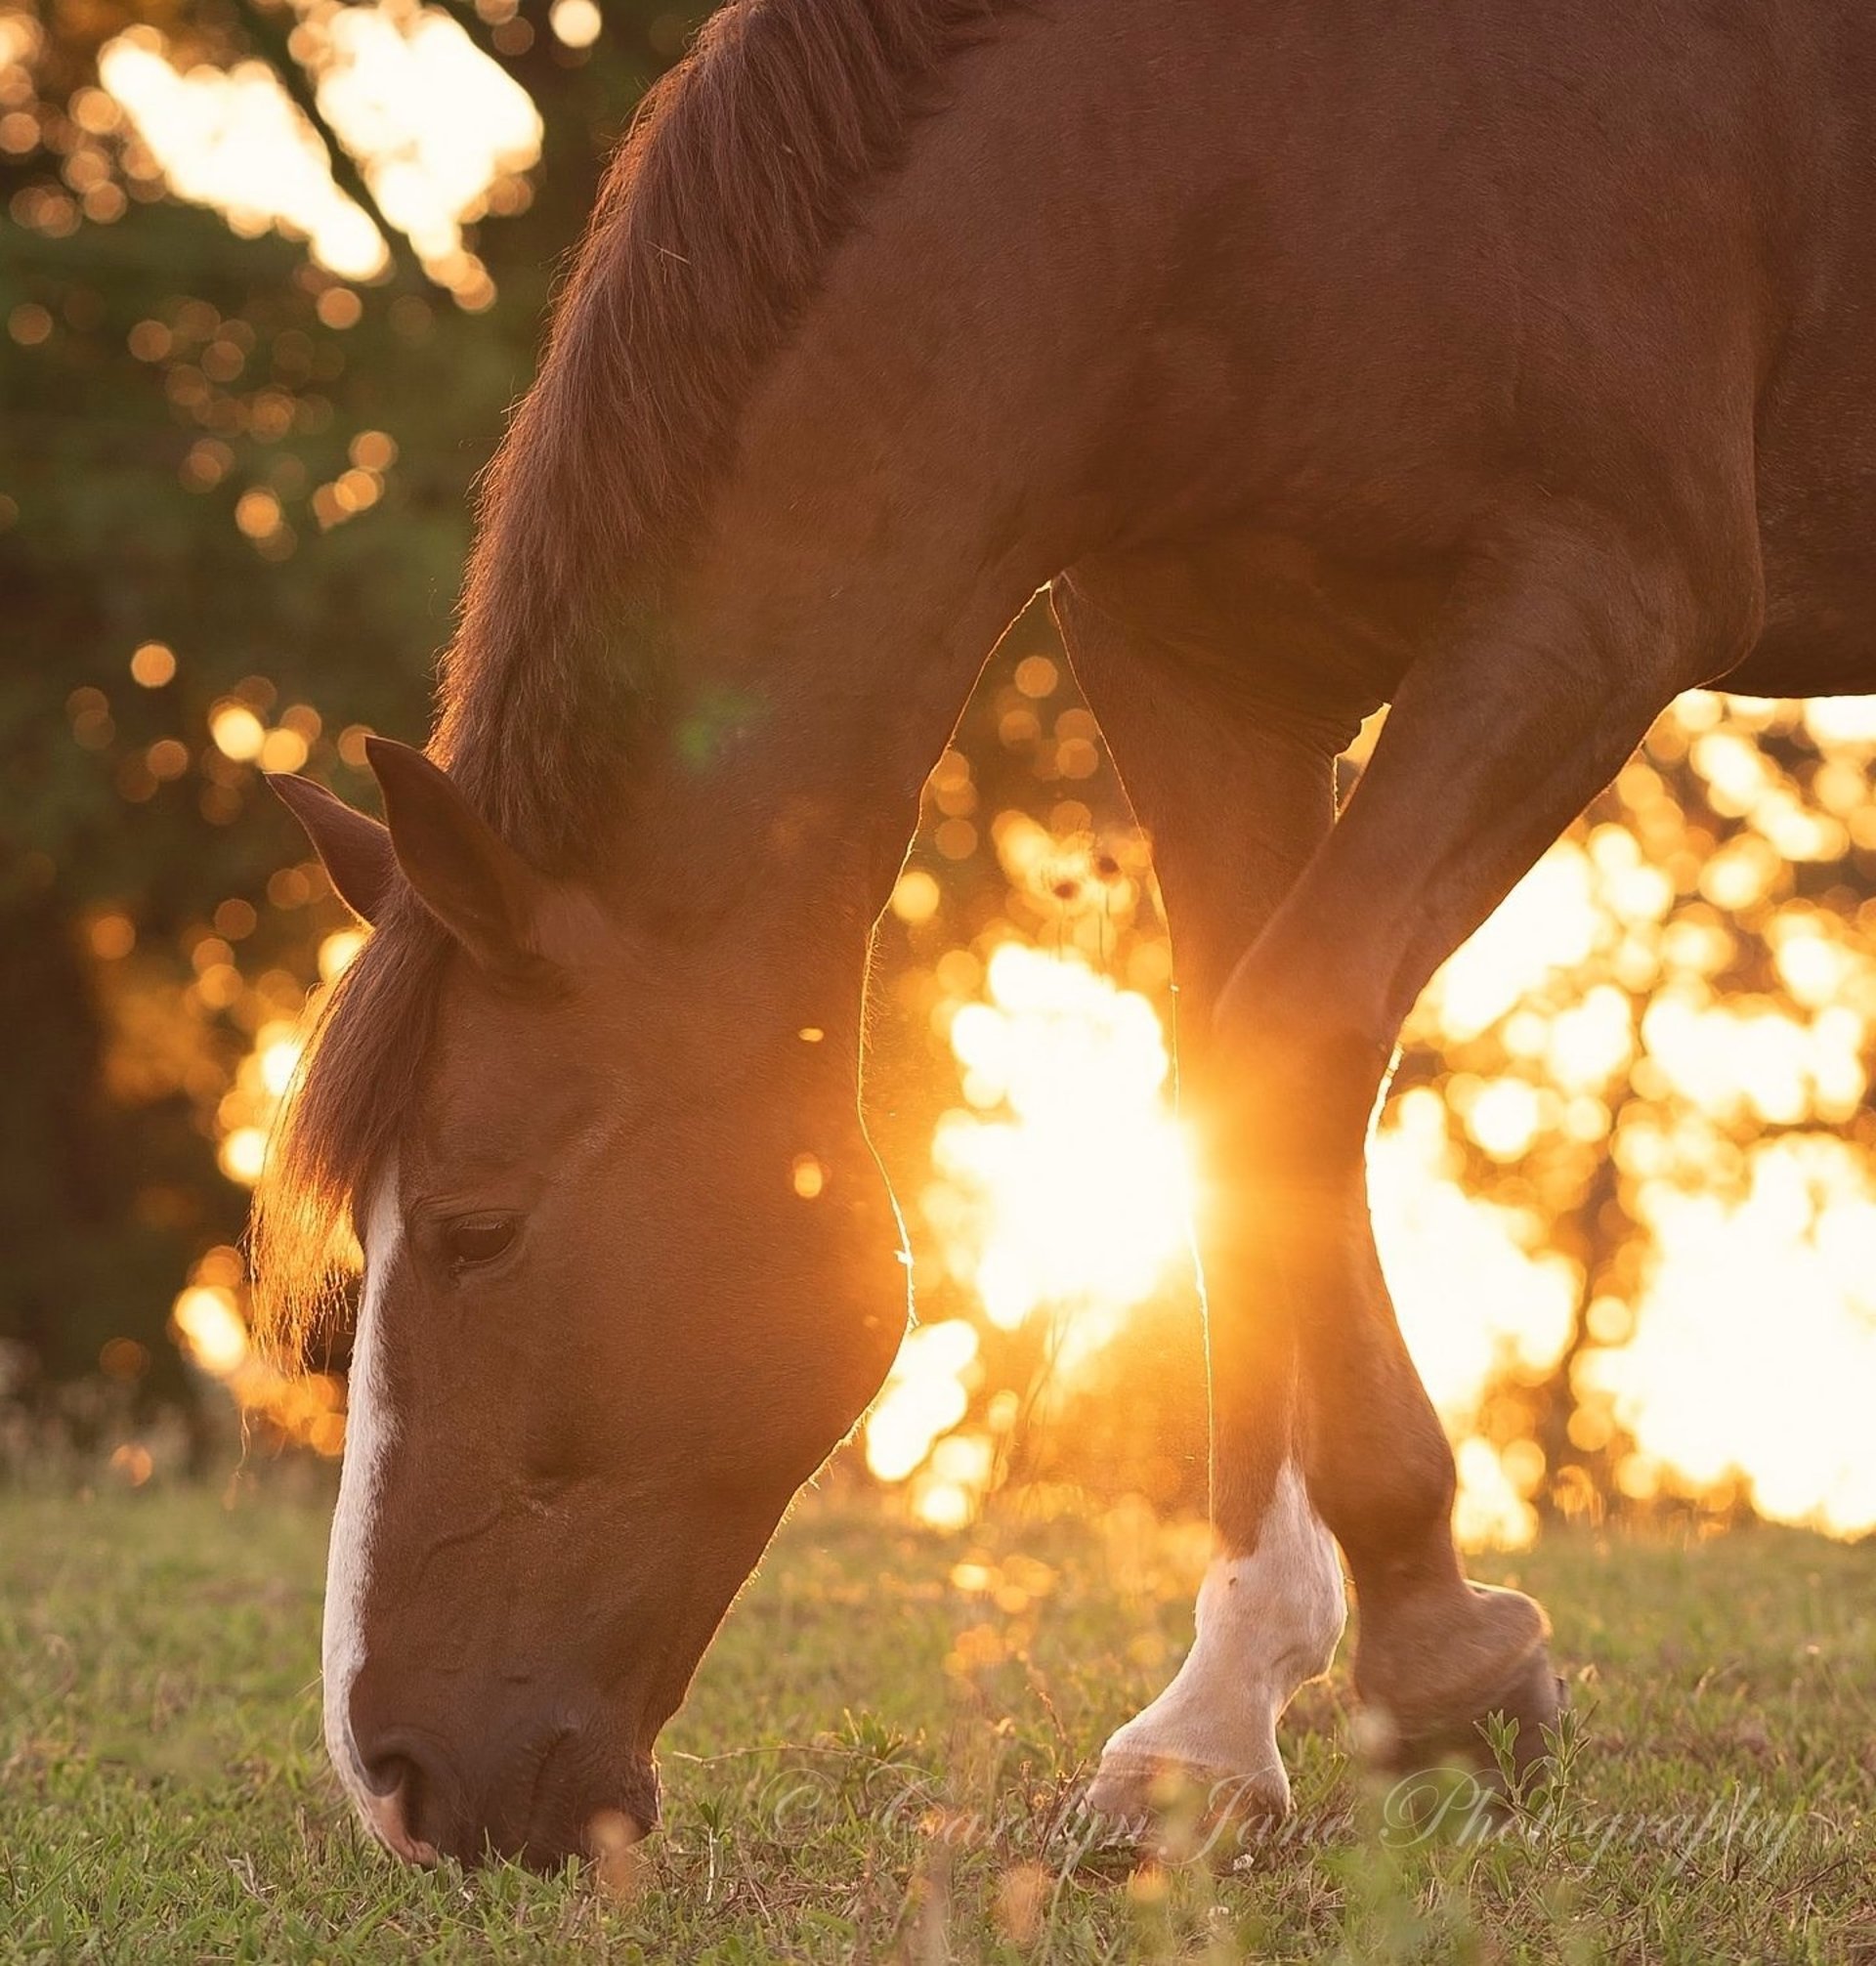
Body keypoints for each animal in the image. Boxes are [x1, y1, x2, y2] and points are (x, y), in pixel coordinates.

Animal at [257, 0, 1876, 1869]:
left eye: (476, 1227)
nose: (393, 1781)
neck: (1233, 151)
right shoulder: (1207, 671)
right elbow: (1236, 1103)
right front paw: (1221, 1719)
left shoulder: (1594, 604)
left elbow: (1284, 1057)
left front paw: (1444, 1667)